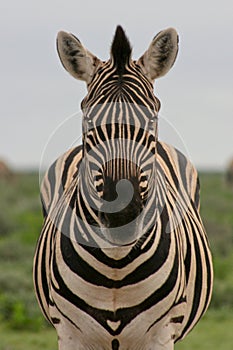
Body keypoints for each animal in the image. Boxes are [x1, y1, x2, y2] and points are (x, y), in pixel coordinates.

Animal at [33, 26, 213, 348]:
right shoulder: (70, 334)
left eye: (151, 119)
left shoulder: (161, 334)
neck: (115, 264)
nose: (122, 215)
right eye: (88, 119)